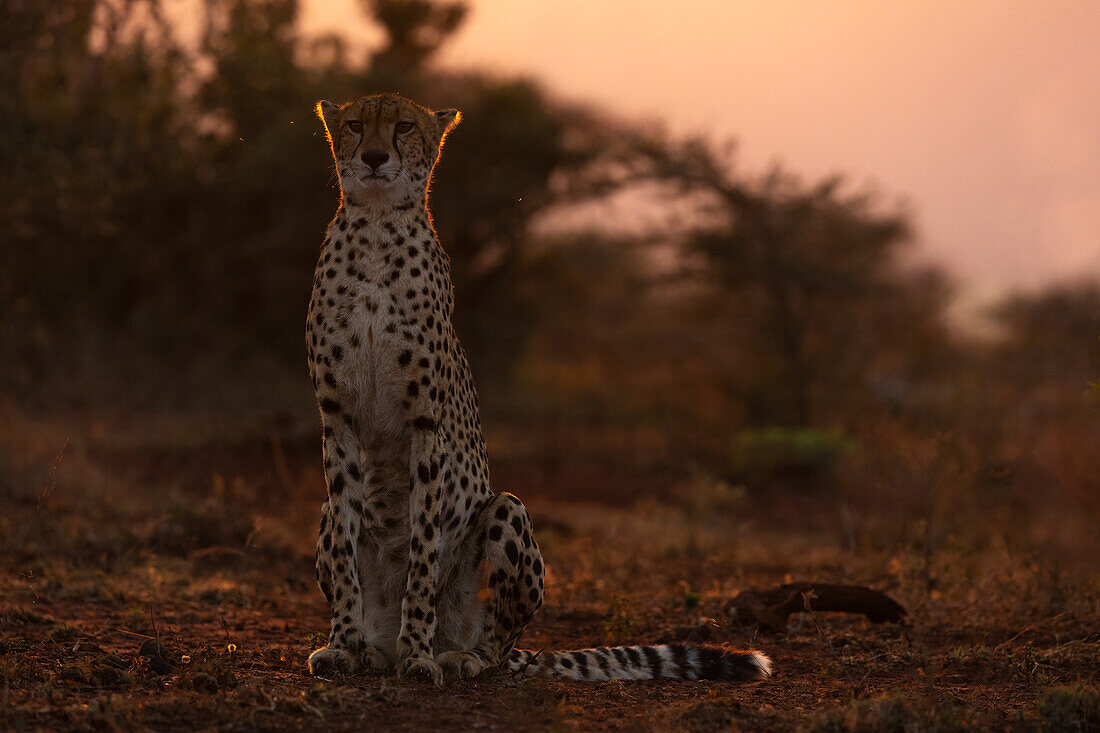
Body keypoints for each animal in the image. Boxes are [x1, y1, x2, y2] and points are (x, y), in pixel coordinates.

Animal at [305, 93, 778, 686]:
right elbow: (348, 546)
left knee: (498, 638)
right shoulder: (337, 415)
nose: (372, 156)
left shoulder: (425, 423)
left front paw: (417, 654)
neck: (374, 226)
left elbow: (422, 550)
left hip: (507, 514)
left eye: (405, 127)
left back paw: (454, 655)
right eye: (353, 124)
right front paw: (343, 643)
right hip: (323, 513)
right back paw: (373, 647)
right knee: (338, 522)